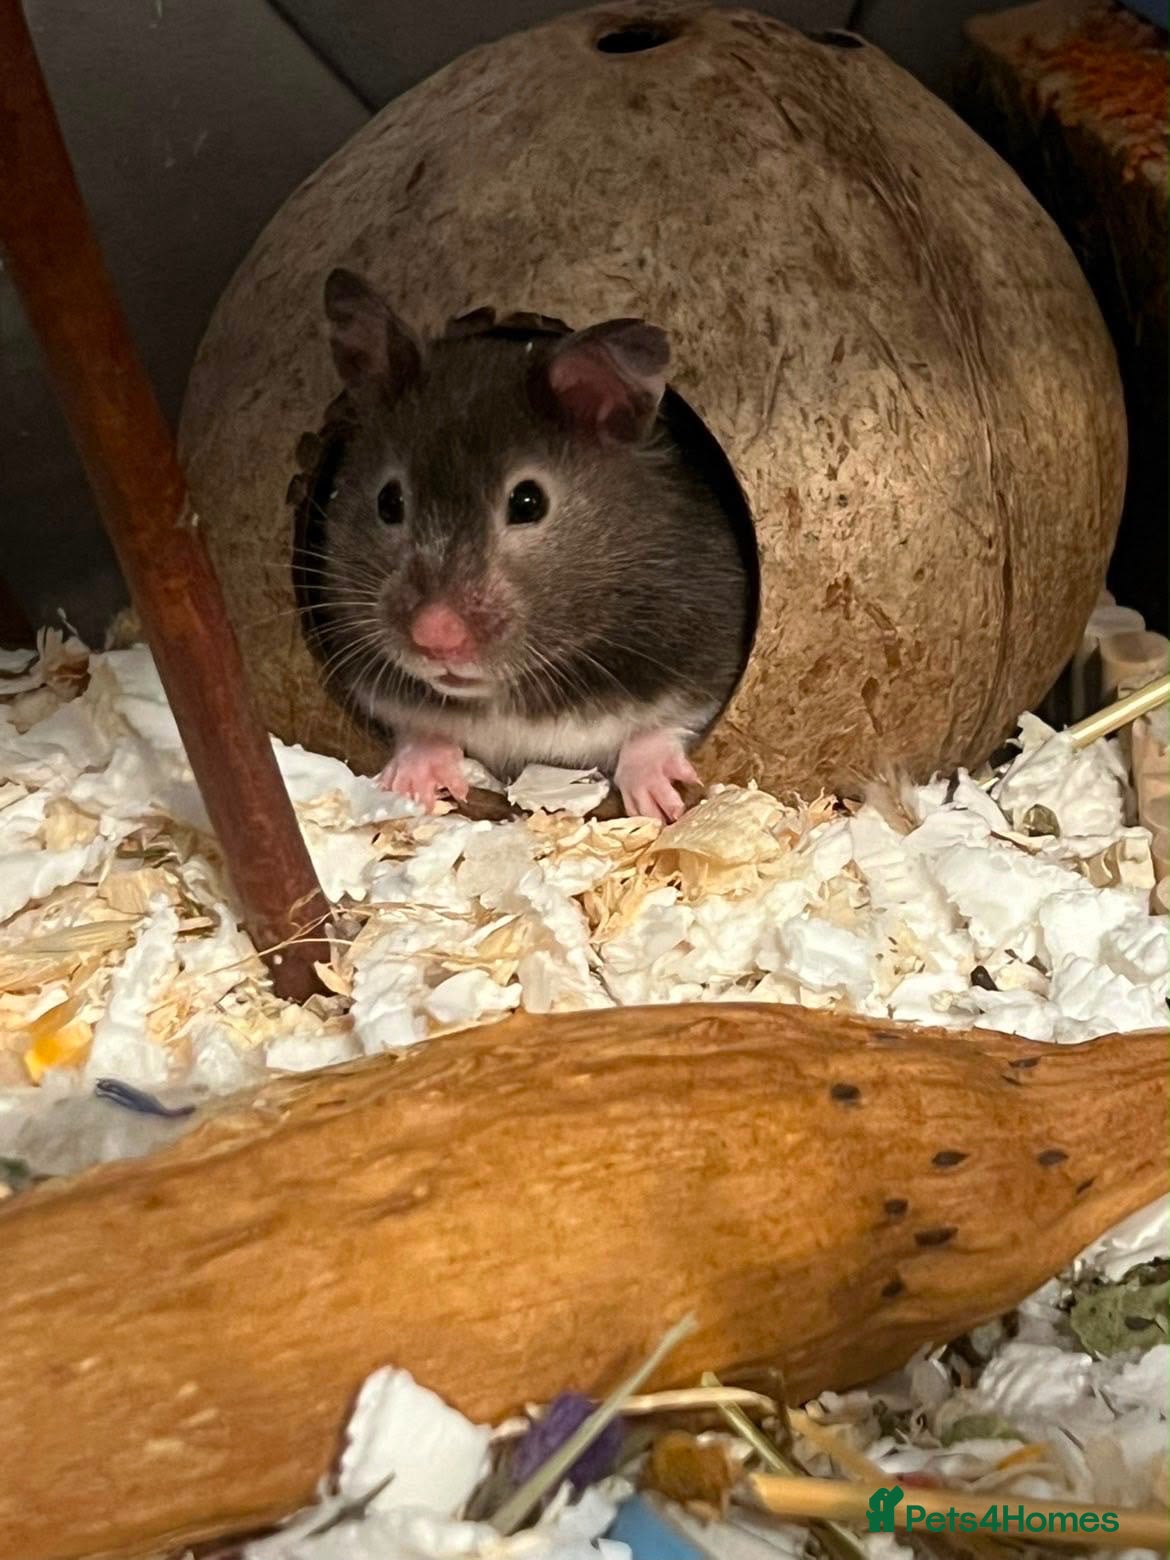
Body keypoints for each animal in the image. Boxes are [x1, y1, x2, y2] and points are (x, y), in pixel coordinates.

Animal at [312, 268, 752, 823]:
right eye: (388, 502)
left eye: (528, 502)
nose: (436, 636)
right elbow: (415, 724)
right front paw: (411, 786)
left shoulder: (710, 650)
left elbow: (666, 723)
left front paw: (661, 806)